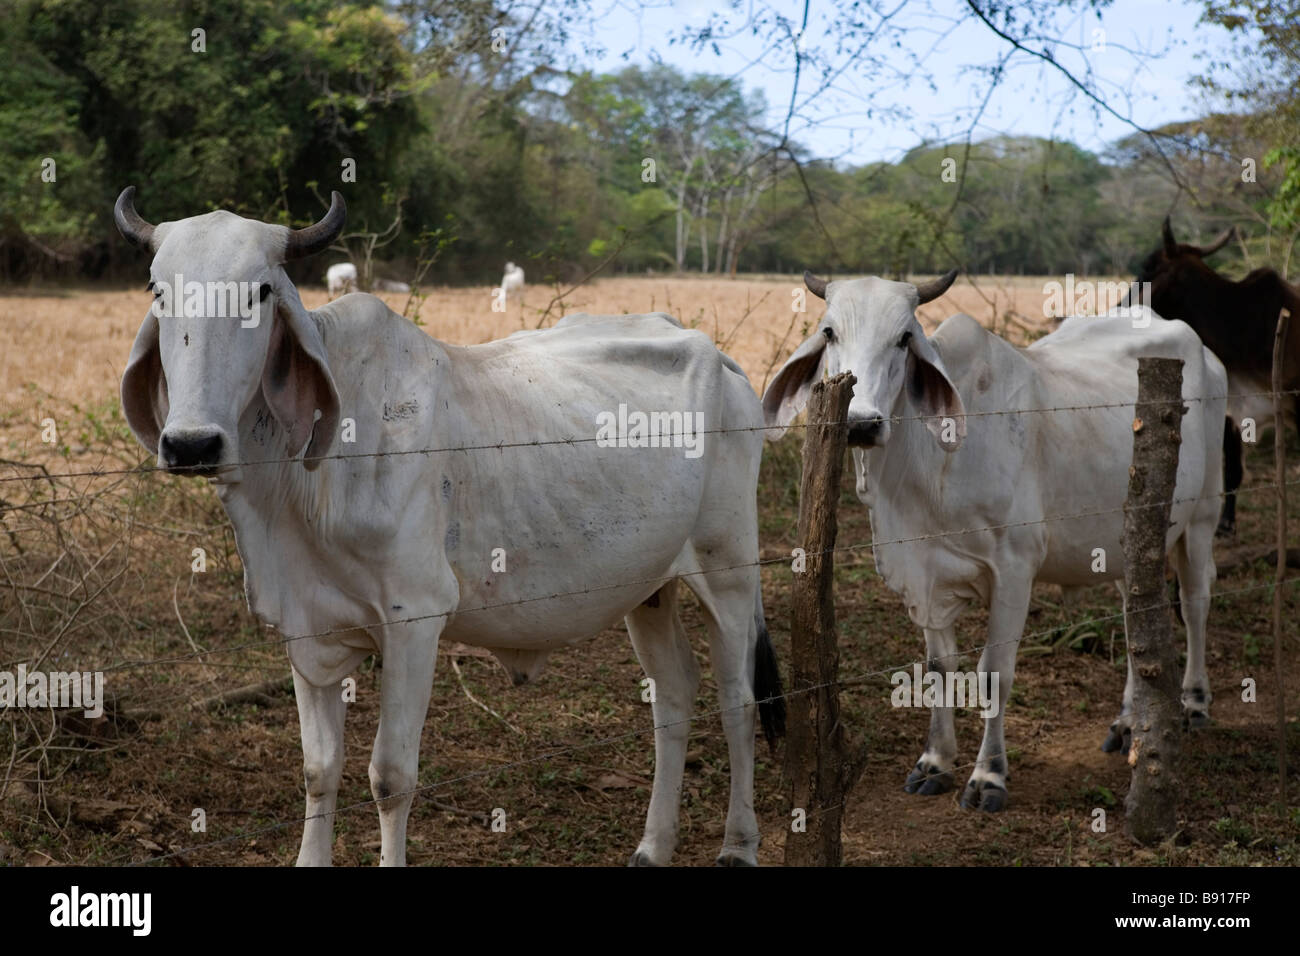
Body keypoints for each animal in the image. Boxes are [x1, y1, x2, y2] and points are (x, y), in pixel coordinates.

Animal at [111, 187, 780, 868]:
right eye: (158, 291)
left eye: (261, 292)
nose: (192, 444)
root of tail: (722, 358)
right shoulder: (307, 627)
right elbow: (319, 769)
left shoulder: (415, 619)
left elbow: (390, 777)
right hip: (649, 588)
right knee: (673, 694)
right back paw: (652, 845)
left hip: (728, 569)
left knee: (738, 699)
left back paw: (739, 844)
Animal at [759, 270, 1222, 816]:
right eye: (829, 332)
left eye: (904, 338)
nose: (862, 423)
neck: (928, 471)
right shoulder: (924, 571)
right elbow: (939, 668)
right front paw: (934, 763)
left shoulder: (1014, 570)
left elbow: (993, 673)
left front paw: (987, 776)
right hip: (1128, 538)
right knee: (1136, 617)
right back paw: (1128, 723)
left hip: (1203, 514)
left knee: (1194, 602)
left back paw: (1194, 703)